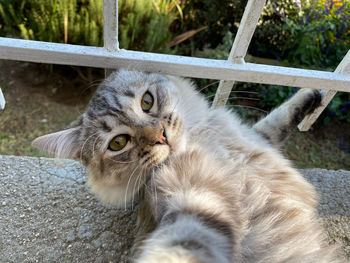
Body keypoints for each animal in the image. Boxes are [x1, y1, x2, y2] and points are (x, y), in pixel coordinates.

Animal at [32, 70, 340, 263]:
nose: (160, 136)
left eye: (147, 101)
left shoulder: (257, 137)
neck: (202, 143)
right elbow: (181, 246)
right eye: (118, 143)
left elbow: (276, 120)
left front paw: (310, 96)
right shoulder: (196, 201)